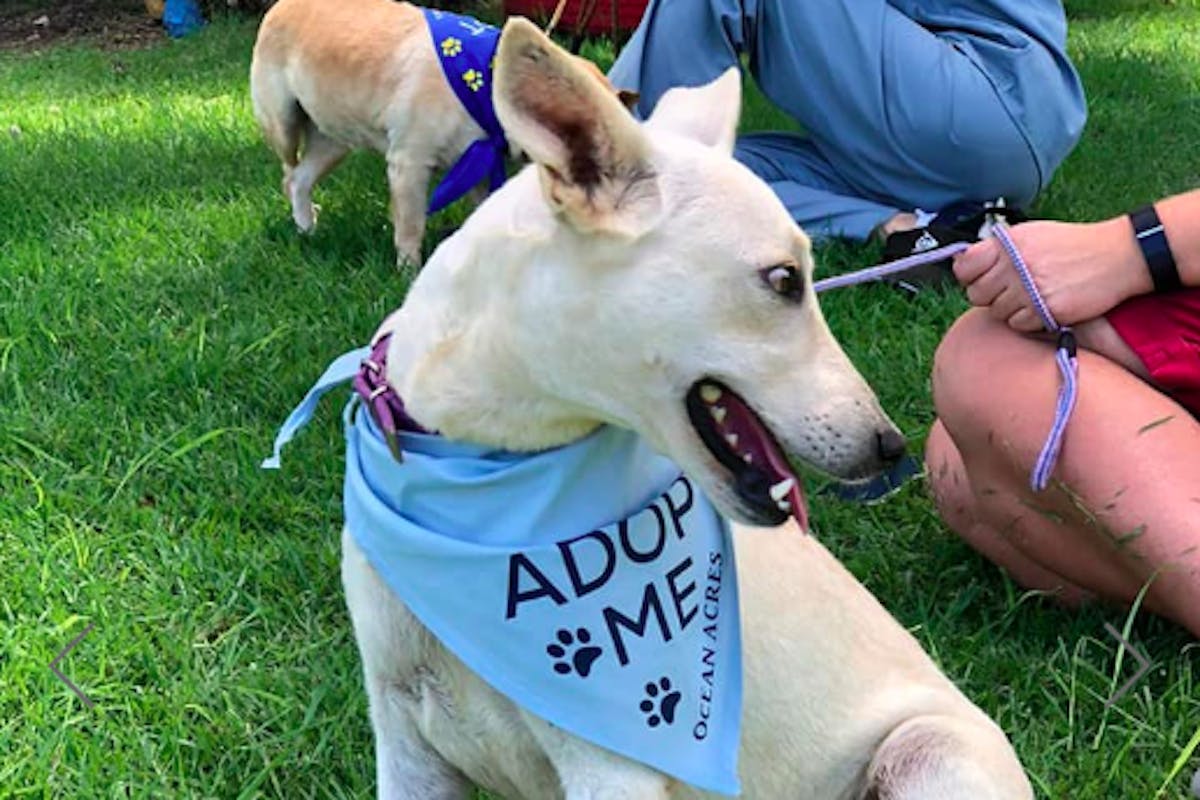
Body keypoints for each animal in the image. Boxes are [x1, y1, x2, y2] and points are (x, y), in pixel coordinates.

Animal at [252, 0, 628, 267]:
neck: (483, 85)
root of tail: (281, 5)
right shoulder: (409, 167)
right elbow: (410, 228)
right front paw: (408, 274)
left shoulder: (478, 169)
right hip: (284, 127)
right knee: (288, 173)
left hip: (334, 141)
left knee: (300, 179)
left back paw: (307, 229)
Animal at [285, 18, 1036, 800]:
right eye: (783, 280)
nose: (891, 446)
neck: (476, 470)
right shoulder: (406, 744)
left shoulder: (611, 767)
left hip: (930, 754)